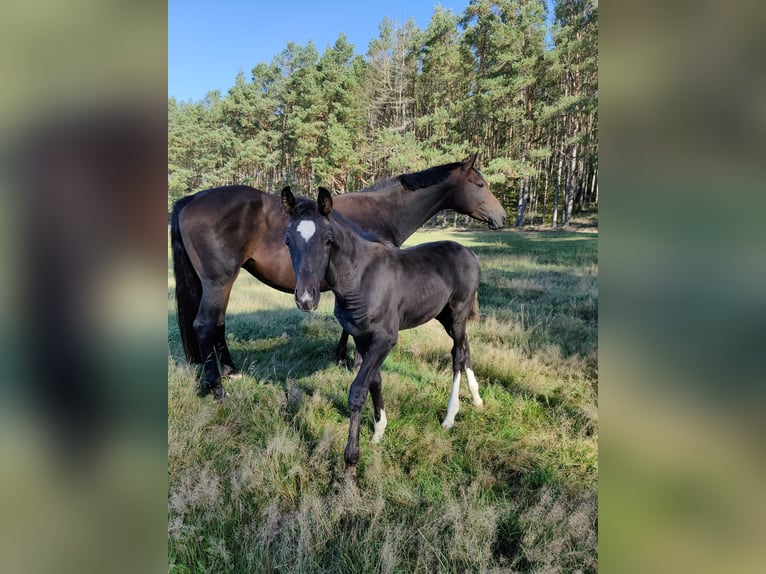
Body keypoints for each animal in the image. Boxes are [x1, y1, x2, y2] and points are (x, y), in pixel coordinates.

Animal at [282, 187, 486, 474]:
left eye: (328, 241)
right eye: (288, 241)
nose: (306, 299)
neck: (359, 278)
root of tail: (469, 253)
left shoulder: (385, 339)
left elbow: (358, 390)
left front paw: (351, 461)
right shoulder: (361, 336)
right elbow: (375, 380)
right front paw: (379, 430)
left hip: (458, 313)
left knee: (457, 355)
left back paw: (450, 416)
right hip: (445, 316)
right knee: (465, 348)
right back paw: (477, 399)